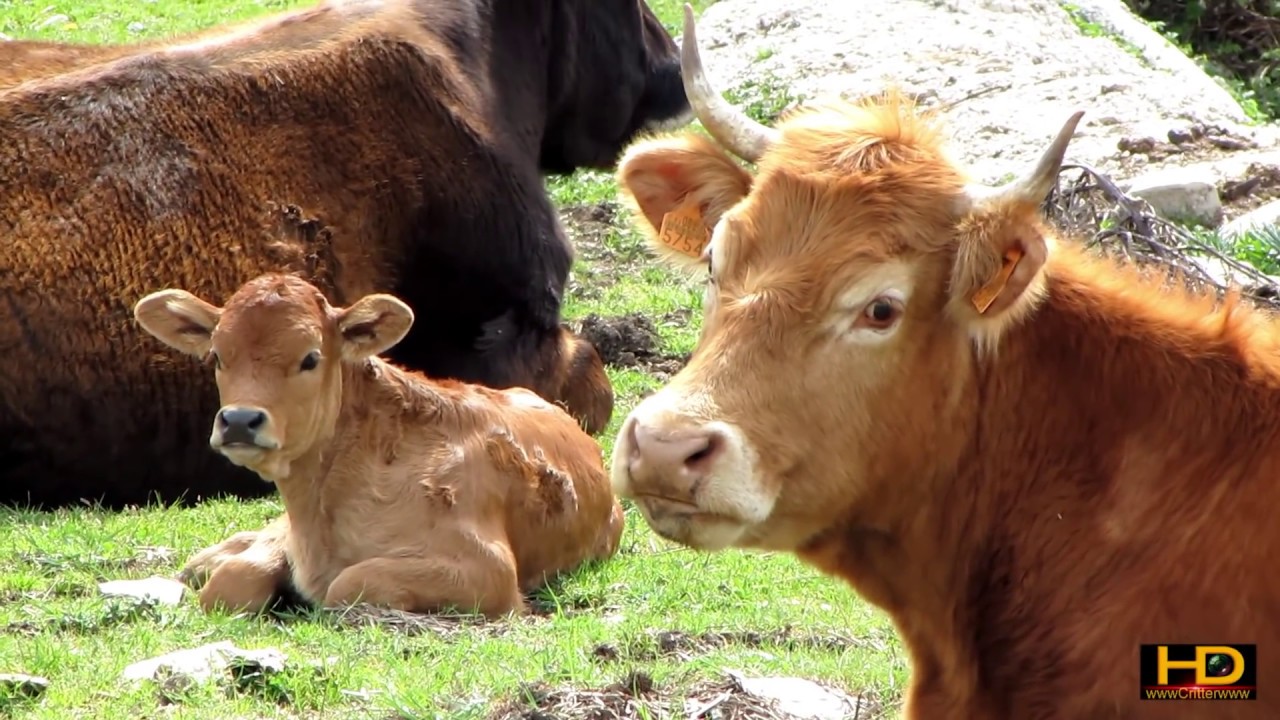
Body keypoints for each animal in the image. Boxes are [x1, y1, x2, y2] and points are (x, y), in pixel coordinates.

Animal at [131, 272, 625, 617]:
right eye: (217, 356)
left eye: (311, 357)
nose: (238, 420)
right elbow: (231, 583)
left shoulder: (487, 568)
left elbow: (348, 584)